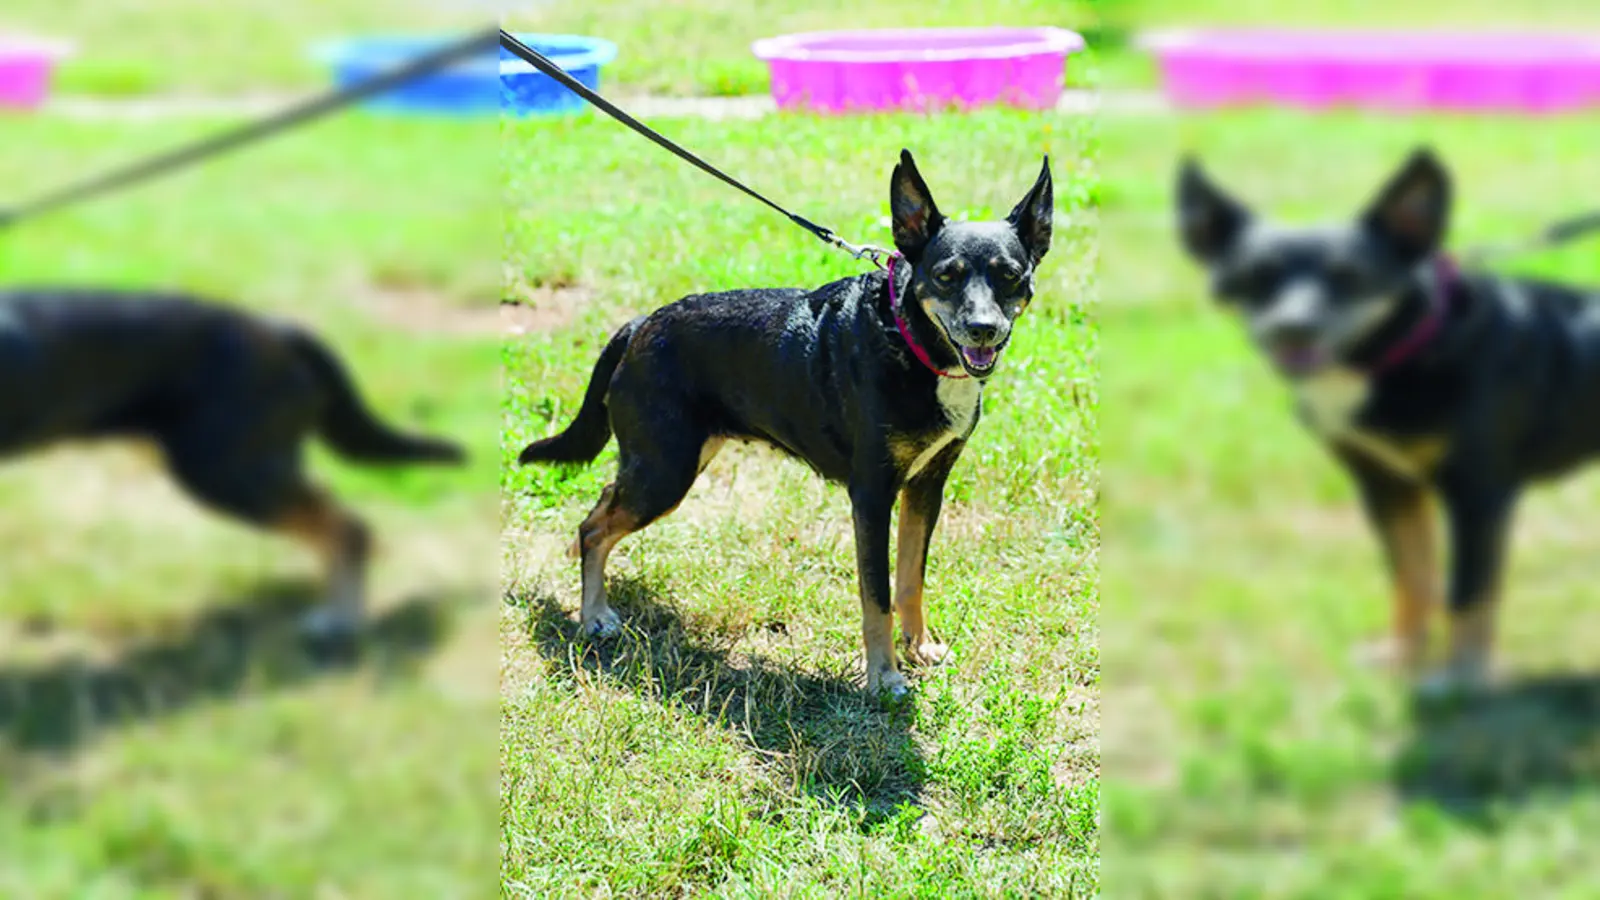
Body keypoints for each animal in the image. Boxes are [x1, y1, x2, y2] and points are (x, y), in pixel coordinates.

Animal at [518, 148, 1056, 695]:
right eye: (947, 275)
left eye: (1010, 275)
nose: (983, 329)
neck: (910, 342)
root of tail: (638, 324)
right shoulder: (871, 494)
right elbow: (877, 596)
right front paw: (883, 677)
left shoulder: (927, 485)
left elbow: (910, 579)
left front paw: (919, 648)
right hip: (664, 472)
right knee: (593, 527)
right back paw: (593, 616)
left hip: (674, 460)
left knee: (603, 506)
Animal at [1177, 147, 1600, 695]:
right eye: (1258, 276)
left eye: (1349, 275)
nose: (1293, 327)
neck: (1405, 348)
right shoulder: (1385, 485)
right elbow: (1411, 578)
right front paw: (1402, 655)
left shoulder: (1479, 492)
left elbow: (1467, 592)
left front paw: (1460, 677)